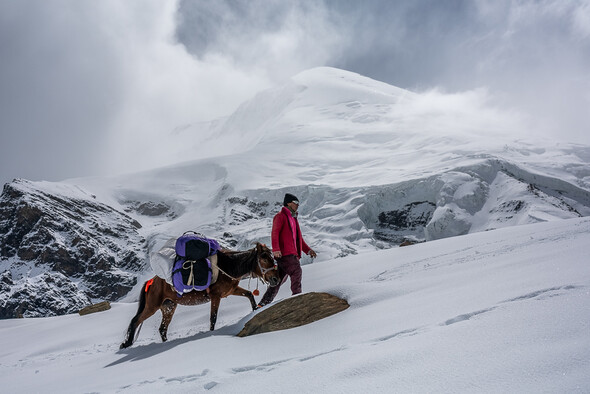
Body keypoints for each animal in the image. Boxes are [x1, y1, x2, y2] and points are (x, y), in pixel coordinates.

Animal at [120, 243, 280, 348]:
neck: (227, 267)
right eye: (264, 258)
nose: (275, 279)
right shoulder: (216, 296)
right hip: (152, 306)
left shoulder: (231, 291)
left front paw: (255, 310)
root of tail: (151, 281)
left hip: (169, 307)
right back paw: (126, 343)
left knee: (162, 328)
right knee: (136, 321)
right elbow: (213, 318)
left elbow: (249, 295)